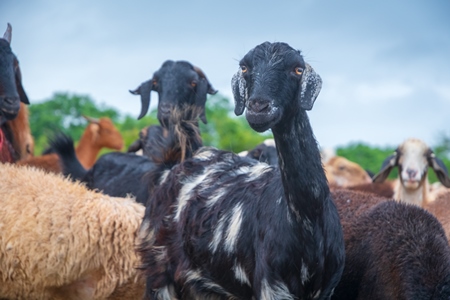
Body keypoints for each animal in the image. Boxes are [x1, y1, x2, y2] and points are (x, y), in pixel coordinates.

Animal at [137, 41, 344, 298]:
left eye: (297, 69)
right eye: (245, 67)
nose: (258, 107)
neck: (308, 219)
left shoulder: (328, 288)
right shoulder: (271, 286)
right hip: (159, 267)